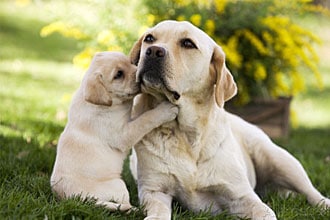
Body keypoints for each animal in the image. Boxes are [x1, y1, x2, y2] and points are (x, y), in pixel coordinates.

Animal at [50, 50, 178, 211]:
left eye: (130, 62)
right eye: (118, 74)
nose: (140, 74)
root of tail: (71, 198)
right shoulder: (124, 134)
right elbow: (145, 119)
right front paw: (165, 110)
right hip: (118, 184)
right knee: (124, 203)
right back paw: (134, 209)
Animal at [130, 20, 330, 218]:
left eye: (188, 43)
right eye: (149, 38)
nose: (153, 51)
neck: (186, 135)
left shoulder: (241, 196)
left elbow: (265, 212)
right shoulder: (154, 191)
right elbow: (158, 211)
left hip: (279, 159)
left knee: (310, 190)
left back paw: (324, 203)